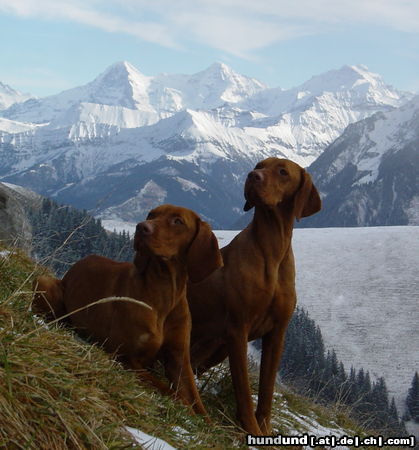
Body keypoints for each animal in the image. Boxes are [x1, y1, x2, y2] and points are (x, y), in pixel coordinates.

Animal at [33, 204, 223, 414]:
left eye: (178, 221)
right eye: (152, 214)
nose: (141, 227)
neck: (163, 293)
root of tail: (75, 267)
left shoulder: (179, 359)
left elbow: (198, 404)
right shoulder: (127, 357)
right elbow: (173, 394)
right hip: (45, 282)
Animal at [189, 159, 324, 436]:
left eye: (283, 171)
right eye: (259, 165)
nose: (252, 176)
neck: (272, 249)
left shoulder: (277, 334)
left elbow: (266, 391)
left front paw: (266, 431)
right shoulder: (238, 329)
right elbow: (244, 391)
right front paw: (251, 430)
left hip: (218, 348)